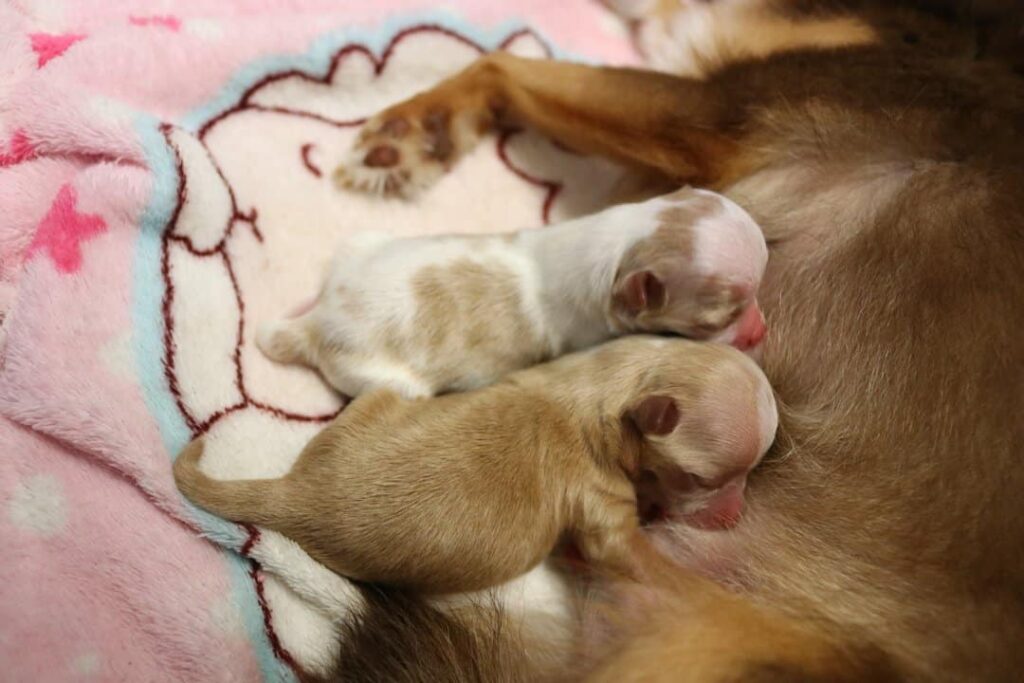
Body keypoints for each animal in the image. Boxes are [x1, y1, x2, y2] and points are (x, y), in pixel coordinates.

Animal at [174, 335, 774, 593]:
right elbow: (635, 556)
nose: (735, 516)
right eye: (698, 478)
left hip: (375, 406)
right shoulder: (602, 507)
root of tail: (294, 493)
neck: (609, 386)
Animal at [256, 187, 770, 401]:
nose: (761, 331)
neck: (617, 244)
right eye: (712, 322)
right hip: (385, 379)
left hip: (361, 244)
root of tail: (316, 324)